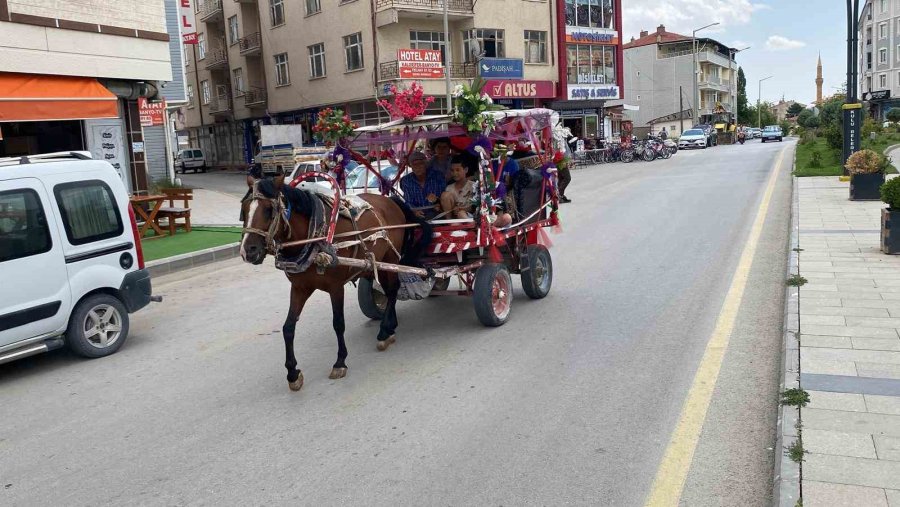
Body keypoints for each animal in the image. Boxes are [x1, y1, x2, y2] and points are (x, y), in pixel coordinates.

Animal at [237, 173, 424, 390]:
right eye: (244, 209)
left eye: (269, 210)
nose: (248, 251)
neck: (314, 236)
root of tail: (390, 201)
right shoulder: (299, 288)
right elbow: (288, 327)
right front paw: (292, 373)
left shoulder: (336, 287)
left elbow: (338, 323)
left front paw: (340, 362)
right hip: (376, 263)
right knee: (387, 289)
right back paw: (390, 326)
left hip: (391, 258)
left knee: (392, 290)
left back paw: (384, 332)